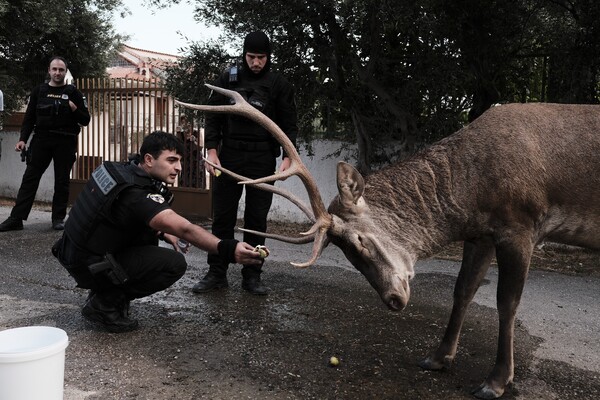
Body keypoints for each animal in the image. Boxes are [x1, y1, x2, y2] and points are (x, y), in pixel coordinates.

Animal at [177, 86, 600, 398]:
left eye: (360, 241)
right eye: (347, 253)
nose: (394, 300)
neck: (473, 193)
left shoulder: (520, 224)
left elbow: (506, 303)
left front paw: (495, 381)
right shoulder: (481, 232)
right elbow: (463, 290)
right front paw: (437, 358)